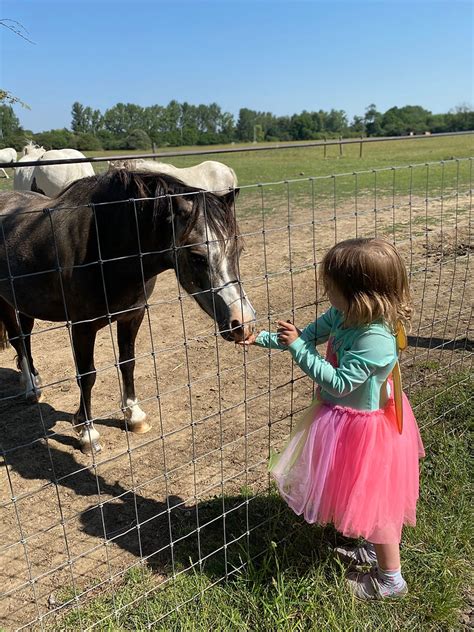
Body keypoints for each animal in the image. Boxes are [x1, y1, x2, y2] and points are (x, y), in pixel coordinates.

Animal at [0, 170, 256, 452]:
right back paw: (31, 389)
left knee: (25, 338)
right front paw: (87, 433)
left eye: (239, 249)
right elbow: (87, 376)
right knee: (18, 339)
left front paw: (134, 416)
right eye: (197, 256)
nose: (242, 323)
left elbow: (127, 362)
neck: (103, 247)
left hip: (25, 301)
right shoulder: (82, 327)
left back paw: (34, 380)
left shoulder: (133, 316)